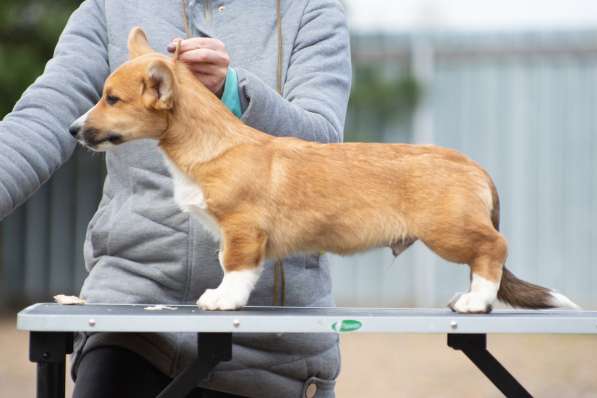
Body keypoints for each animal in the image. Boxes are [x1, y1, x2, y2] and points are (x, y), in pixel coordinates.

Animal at [68, 28, 576, 314]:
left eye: (112, 99)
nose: (74, 130)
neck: (209, 143)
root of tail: (474, 166)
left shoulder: (242, 230)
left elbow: (234, 269)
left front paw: (223, 299)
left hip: (448, 229)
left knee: (493, 249)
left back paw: (476, 301)